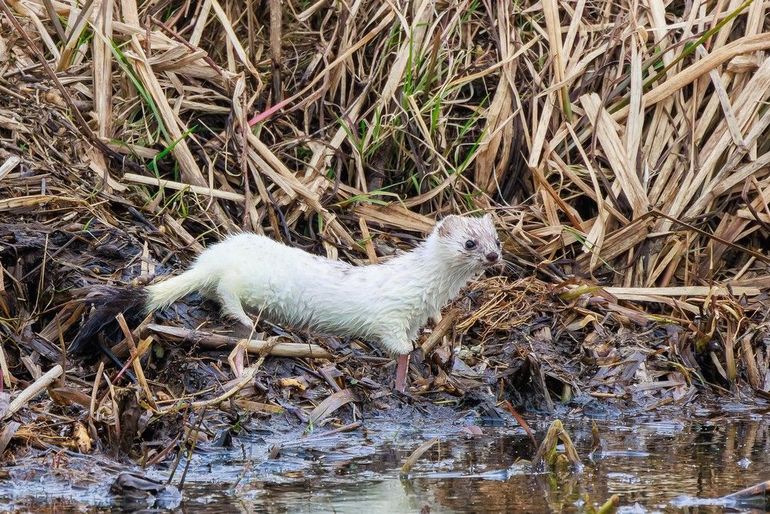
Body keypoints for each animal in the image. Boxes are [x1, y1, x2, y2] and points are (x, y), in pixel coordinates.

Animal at [146, 212, 498, 384]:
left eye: (495, 239)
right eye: (470, 242)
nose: (494, 256)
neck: (429, 292)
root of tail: (212, 258)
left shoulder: (415, 317)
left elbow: (412, 338)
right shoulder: (393, 314)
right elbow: (394, 339)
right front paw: (405, 361)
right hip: (246, 281)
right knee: (225, 290)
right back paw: (244, 319)